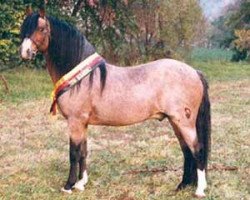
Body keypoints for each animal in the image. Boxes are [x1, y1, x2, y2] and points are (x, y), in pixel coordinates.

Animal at [19, 8, 211, 198]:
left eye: (41, 29)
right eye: (24, 29)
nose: (25, 52)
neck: (82, 78)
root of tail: (195, 72)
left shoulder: (75, 122)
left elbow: (73, 153)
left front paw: (68, 186)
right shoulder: (82, 123)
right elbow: (83, 151)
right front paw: (81, 183)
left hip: (183, 122)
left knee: (197, 149)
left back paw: (199, 190)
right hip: (175, 121)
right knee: (187, 151)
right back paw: (183, 185)